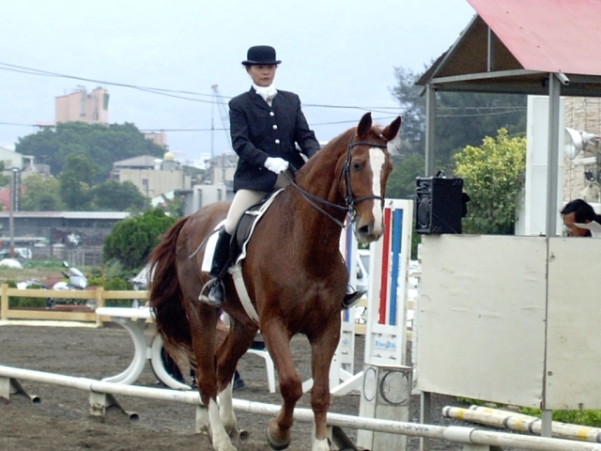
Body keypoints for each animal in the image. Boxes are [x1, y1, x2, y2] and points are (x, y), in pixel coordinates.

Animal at [146, 113, 398, 451]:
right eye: (357, 164)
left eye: (388, 168)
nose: (372, 228)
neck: (307, 244)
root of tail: (191, 218)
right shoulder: (274, 323)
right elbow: (291, 384)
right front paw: (278, 432)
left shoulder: (327, 327)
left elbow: (321, 394)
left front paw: (319, 444)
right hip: (202, 313)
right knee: (207, 375)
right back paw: (220, 438)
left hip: (244, 323)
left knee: (224, 364)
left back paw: (227, 425)